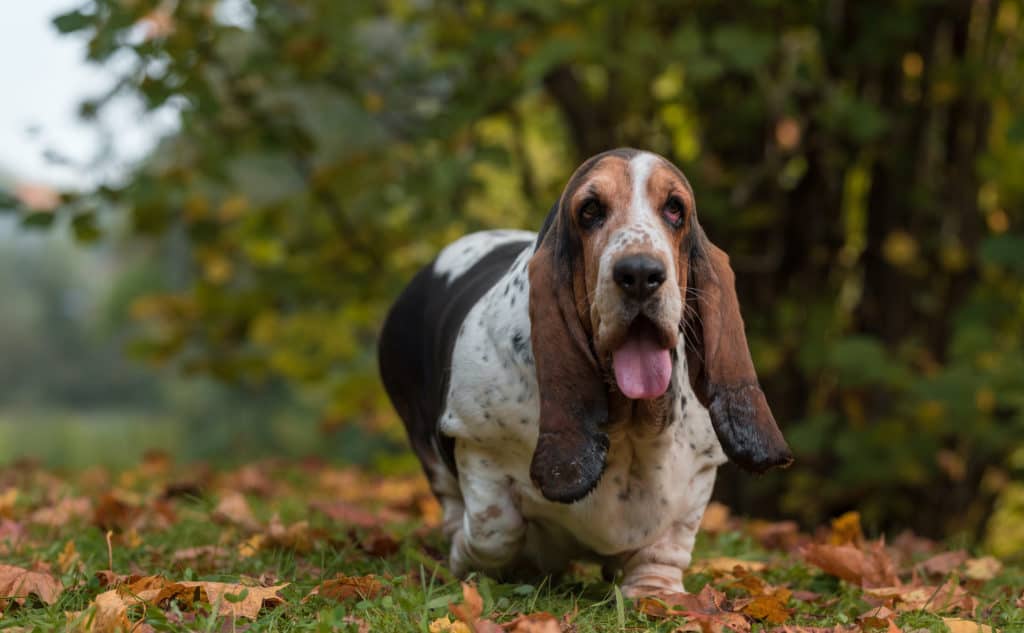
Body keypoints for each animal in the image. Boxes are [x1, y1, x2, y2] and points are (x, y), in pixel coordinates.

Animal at [378, 146, 790, 589]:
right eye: (590, 210)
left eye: (675, 208)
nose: (640, 273)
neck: (628, 424)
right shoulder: (476, 444)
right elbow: (496, 529)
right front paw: (468, 557)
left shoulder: (699, 472)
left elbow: (668, 543)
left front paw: (654, 589)